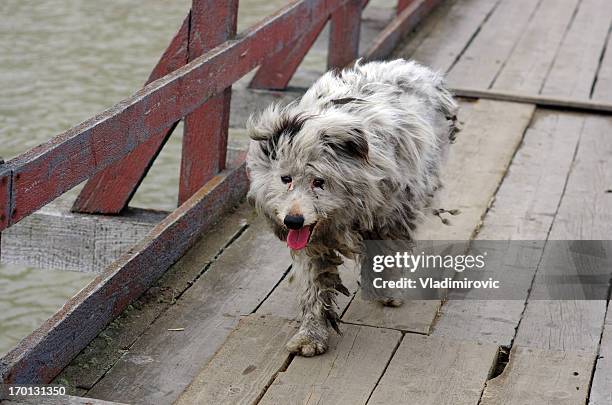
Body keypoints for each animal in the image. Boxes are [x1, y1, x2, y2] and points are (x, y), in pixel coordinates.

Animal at [246, 58, 456, 356]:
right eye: (285, 179)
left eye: (319, 181)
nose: (293, 221)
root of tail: (415, 68)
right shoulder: (311, 244)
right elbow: (314, 286)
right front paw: (311, 335)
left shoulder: (390, 216)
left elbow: (386, 253)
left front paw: (386, 290)